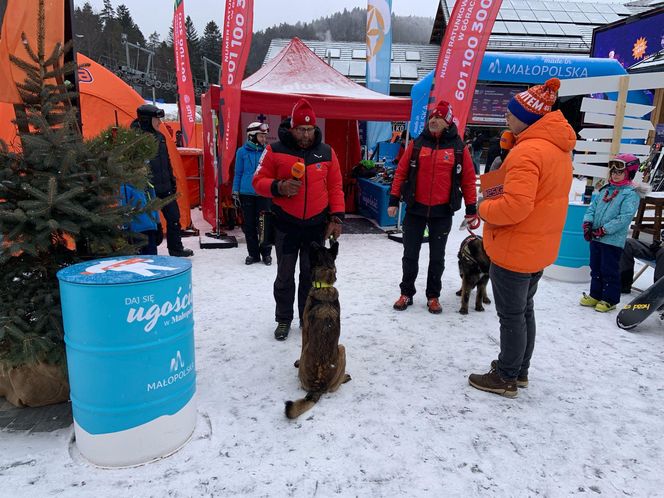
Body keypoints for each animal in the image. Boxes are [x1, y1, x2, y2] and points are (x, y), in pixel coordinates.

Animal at [282, 239, 350, 418]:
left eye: (316, 249)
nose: (311, 240)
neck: (324, 286)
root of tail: (317, 385)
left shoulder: (305, 330)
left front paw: (297, 362)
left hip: (342, 348)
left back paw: (345, 377)